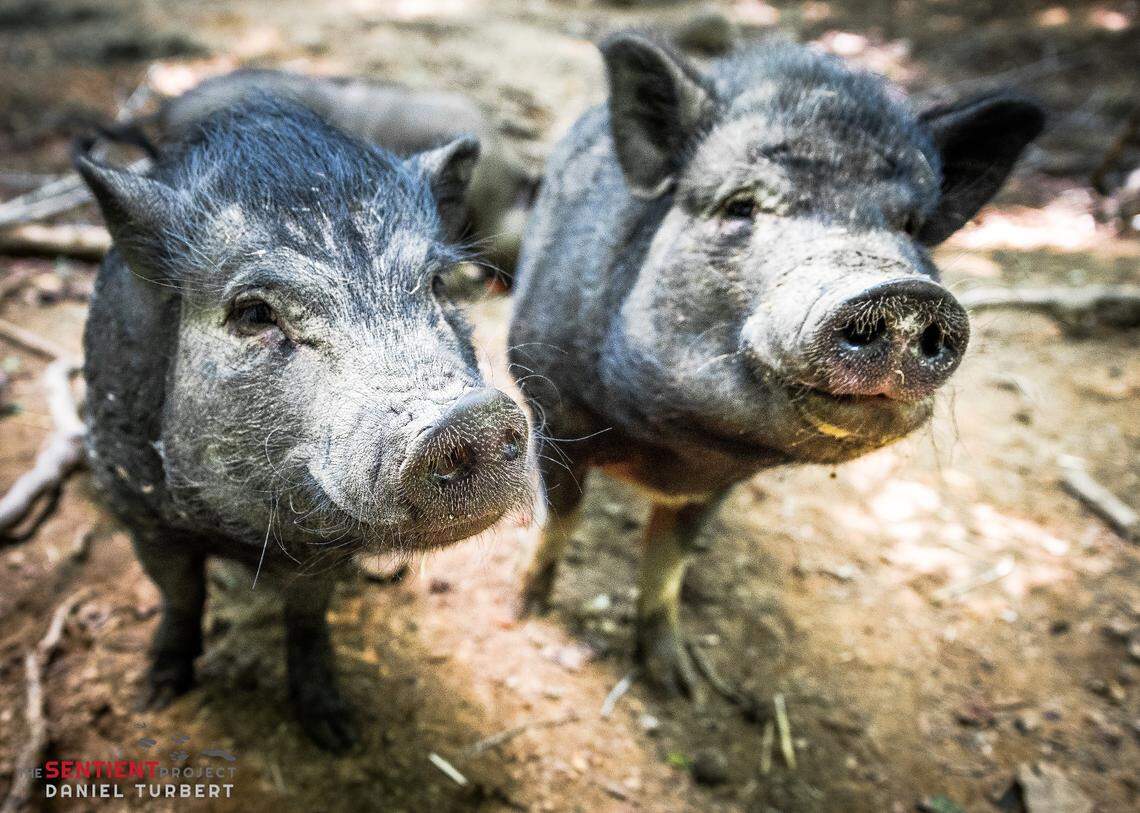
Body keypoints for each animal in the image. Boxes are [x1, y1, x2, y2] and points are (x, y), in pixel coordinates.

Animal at [75, 96, 536, 750]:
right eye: (252, 313)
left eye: (436, 284)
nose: (472, 417)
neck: (244, 536)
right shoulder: (140, 509)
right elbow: (180, 595)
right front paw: (156, 695)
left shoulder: (323, 556)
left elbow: (308, 615)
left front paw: (336, 733)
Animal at [509, 34, 1044, 696]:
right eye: (742, 204)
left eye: (912, 227)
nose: (905, 293)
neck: (666, 449)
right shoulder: (552, 409)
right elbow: (558, 520)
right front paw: (526, 615)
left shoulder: (713, 484)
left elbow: (669, 559)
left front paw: (681, 684)